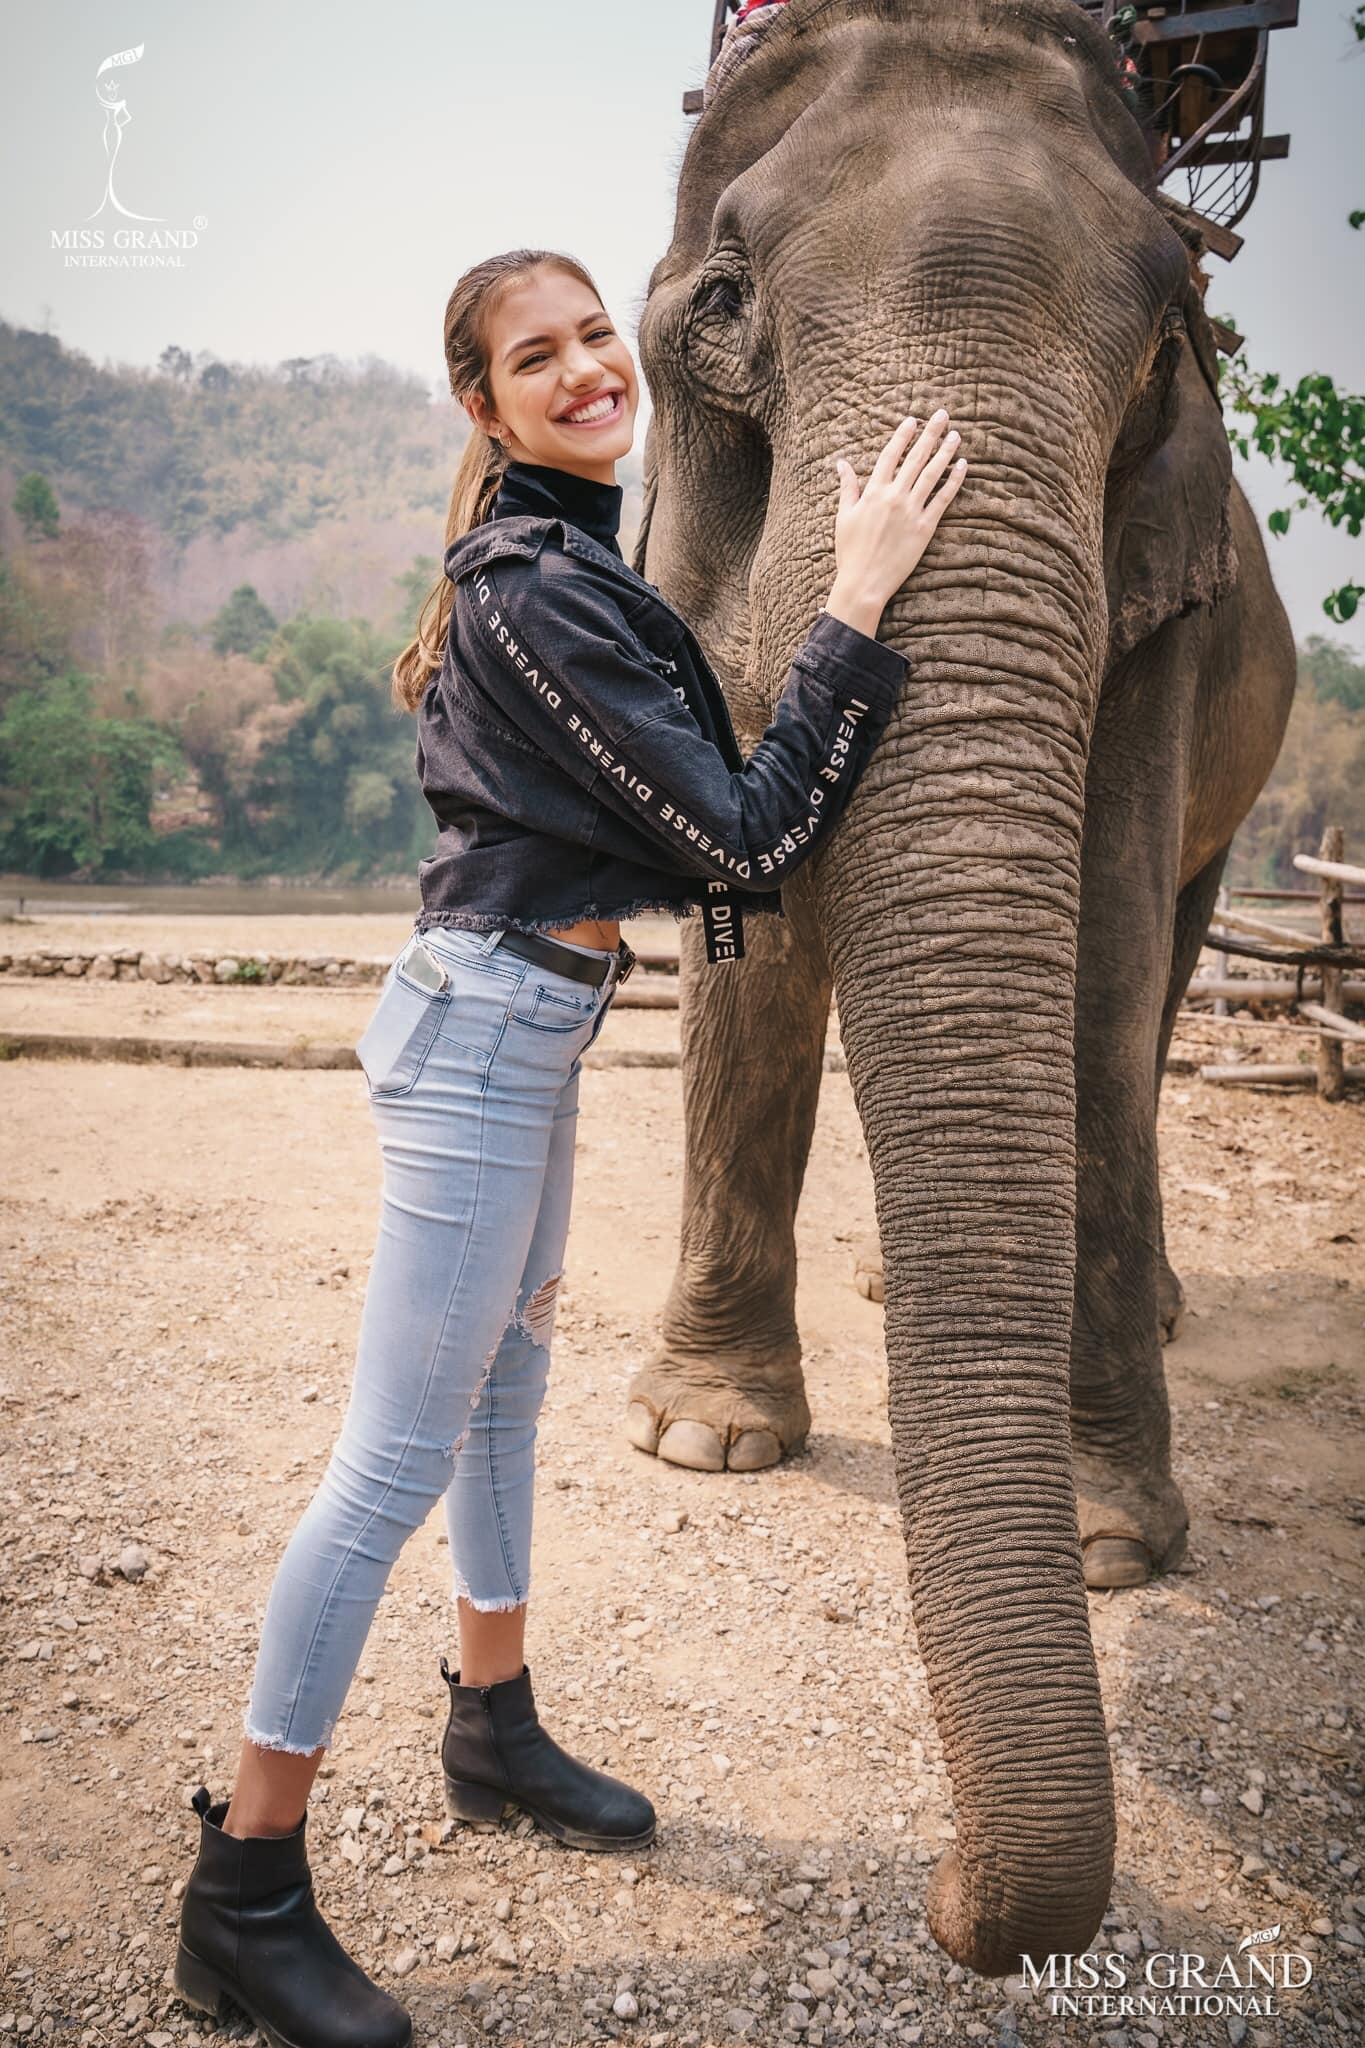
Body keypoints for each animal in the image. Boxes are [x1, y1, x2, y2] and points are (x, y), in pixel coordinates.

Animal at [626, 0, 1301, 1982]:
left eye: (1165, 339)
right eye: (724, 299)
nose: (944, 1899)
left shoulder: (1165, 607)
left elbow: (1096, 962)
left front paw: (1110, 1551)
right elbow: (752, 925)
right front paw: (708, 1441)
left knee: (1163, 971)